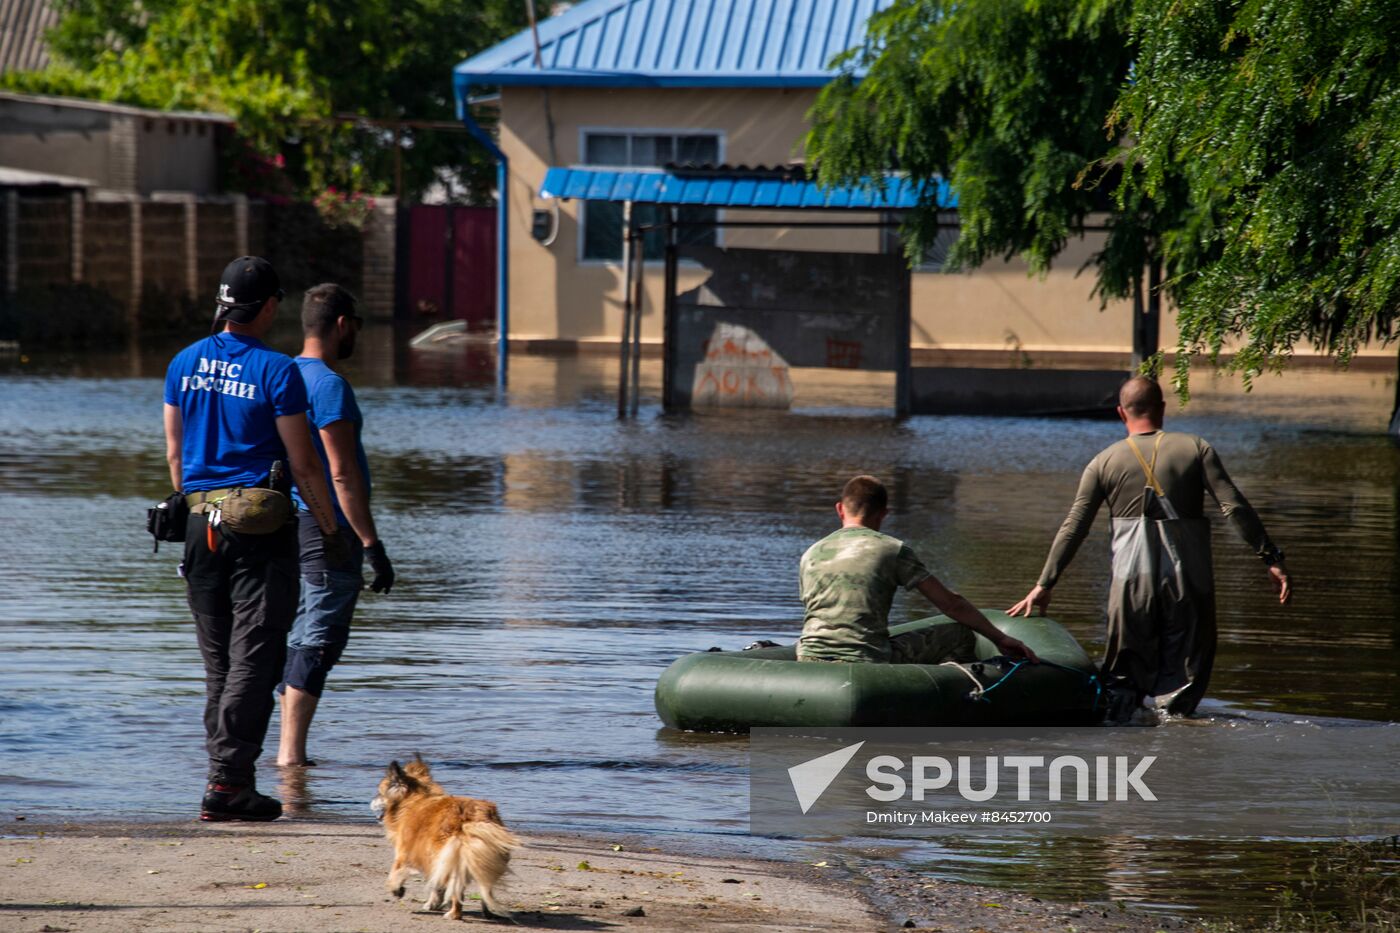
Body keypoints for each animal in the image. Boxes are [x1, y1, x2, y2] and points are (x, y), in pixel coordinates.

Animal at [372, 750, 520, 918]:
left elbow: (395, 872)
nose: (371, 801)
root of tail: (473, 817)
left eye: (379, 793)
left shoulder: (405, 852)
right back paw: (486, 910)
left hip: (449, 856)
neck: (415, 799)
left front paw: (397, 889)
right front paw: (433, 903)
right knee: (485, 886)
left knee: (457, 890)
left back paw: (454, 913)